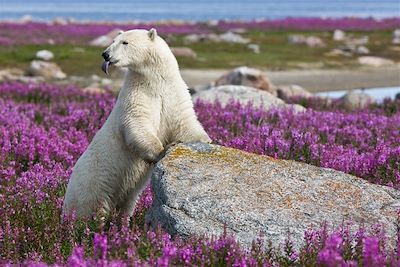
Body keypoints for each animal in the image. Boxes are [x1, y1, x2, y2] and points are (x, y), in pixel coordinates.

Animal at [62, 28, 211, 219]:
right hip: (92, 184)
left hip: (126, 194)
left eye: (124, 42)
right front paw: (162, 151)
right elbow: (138, 123)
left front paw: (206, 140)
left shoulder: (173, 93)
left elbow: (184, 121)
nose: (105, 54)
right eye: (113, 40)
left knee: (126, 204)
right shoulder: (137, 94)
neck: (154, 80)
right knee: (91, 209)